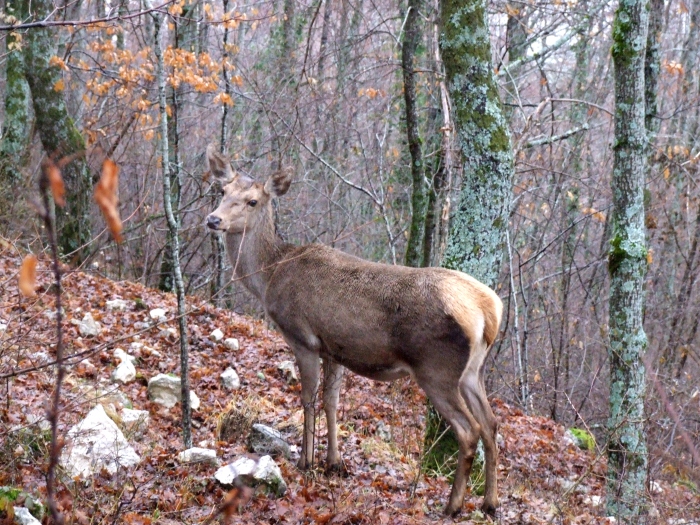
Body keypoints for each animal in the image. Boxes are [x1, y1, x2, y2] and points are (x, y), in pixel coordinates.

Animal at [205, 145, 506, 512]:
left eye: (252, 201)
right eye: (222, 191)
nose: (213, 219)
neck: (270, 275)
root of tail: (488, 309)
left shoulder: (302, 336)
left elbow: (308, 399)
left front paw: (306, 461)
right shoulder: (334, 348)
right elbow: (331, 402)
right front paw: (334, 462)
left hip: (437, 369)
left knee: (469, 430)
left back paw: (452, 505)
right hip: (472, 371)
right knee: (491, 424)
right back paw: (489, 502)